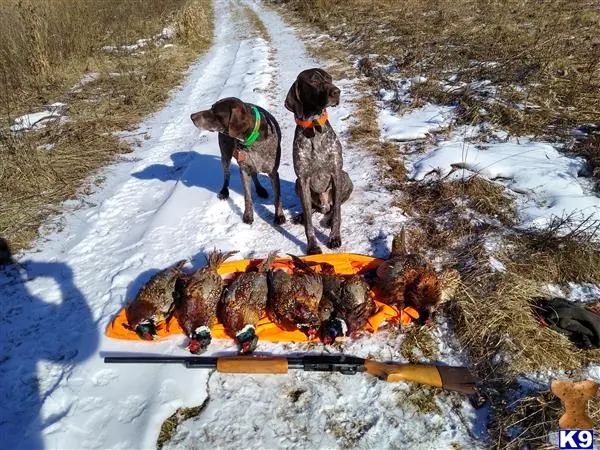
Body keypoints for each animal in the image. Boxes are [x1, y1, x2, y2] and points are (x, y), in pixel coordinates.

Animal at [192, 97, 286, 225]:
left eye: (215, 113)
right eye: (211, 107)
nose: (192, 116)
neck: (252, 141)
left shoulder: (273, 172)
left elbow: (277, 197)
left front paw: (279, 215)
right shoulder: (244, 170)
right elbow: (247, 197)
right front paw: (248, 215)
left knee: (254, 174)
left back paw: (260, 190)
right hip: (225, 155)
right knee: (227, 175)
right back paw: (224, 191)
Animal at [284, 68, 352, 255]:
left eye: (329, 78)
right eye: (313, 81)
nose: (336, 92)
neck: (314, 127)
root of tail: (324, 205)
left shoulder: (335, 173)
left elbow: (337, 213)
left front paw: (334, 238)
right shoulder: (303, 179)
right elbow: (309, 221)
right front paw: (313, 246)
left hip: (344, 177)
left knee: (335, 206)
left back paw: (328, 217)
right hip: (297, 184)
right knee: (311, 209)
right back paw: (301, 215)